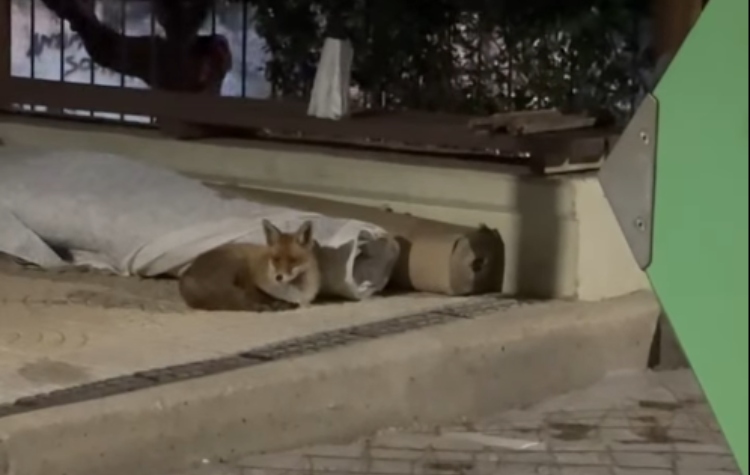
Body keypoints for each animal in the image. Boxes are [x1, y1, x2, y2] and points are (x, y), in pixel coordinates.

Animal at [178, 219, 322, 311]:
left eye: (293, 260)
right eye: (276, 259)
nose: (278, 277)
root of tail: (186, 275)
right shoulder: (254, 286)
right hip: (238, 265)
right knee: (242, 305)